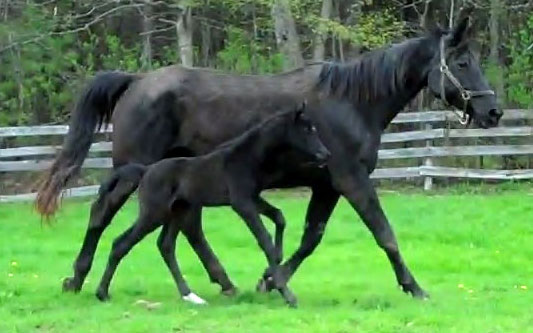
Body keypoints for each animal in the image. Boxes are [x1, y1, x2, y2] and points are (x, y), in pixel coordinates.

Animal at [95, 105, 328, 304]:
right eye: (307, 129)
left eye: (315, 128)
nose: (325, 154)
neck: (246, 158)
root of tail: (145, 171)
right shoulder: (242, 203)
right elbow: (265, 241)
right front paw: (287, 294)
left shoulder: (253, 198)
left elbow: (279, 217)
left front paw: (273, 268)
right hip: (154, 214)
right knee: (121, 244)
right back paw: (102, 293)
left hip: (178, 212)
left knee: (166, 246)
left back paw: (190, 295)